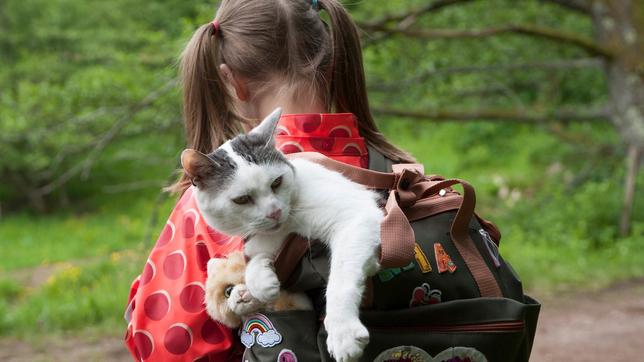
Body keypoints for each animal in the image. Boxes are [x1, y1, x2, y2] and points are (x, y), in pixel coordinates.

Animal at [181, 108, 382, 362]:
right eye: (242, 199)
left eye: (276, 182)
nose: (274, 212)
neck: (291, 225)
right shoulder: (266, 237)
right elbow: (254, 255)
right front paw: (260, 282)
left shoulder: (357, 214)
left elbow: (341, 278)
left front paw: (342, 332)